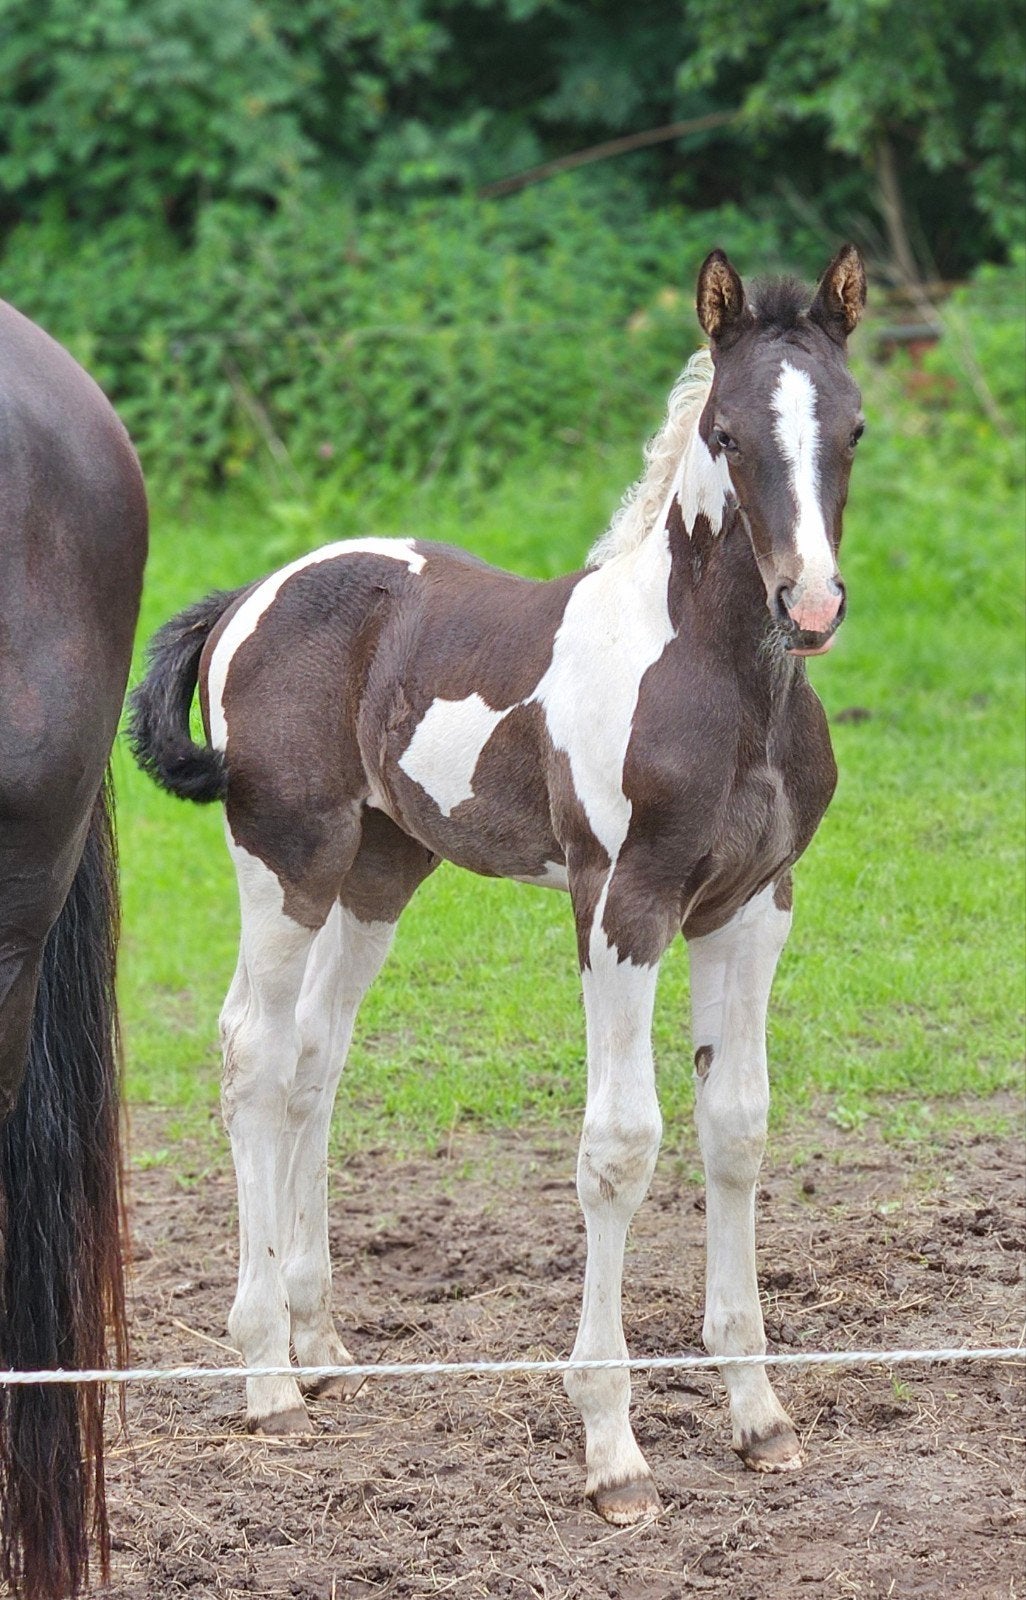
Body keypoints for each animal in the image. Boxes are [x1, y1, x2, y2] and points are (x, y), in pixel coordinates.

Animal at [129, 245, 866, 1525]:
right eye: (725, 433)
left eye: (855, 429)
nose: (809, 607)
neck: (715, 678)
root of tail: (249, 597)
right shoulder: (623, 907)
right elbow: (621, 1145)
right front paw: (614, 1451)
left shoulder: (750, 910)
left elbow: (737, 1126)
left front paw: (759, 1416)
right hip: (289, 855)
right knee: (250, 1054)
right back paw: (265, 1372)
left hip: (381, 865)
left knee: (315, 1055)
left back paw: (320, 1347)